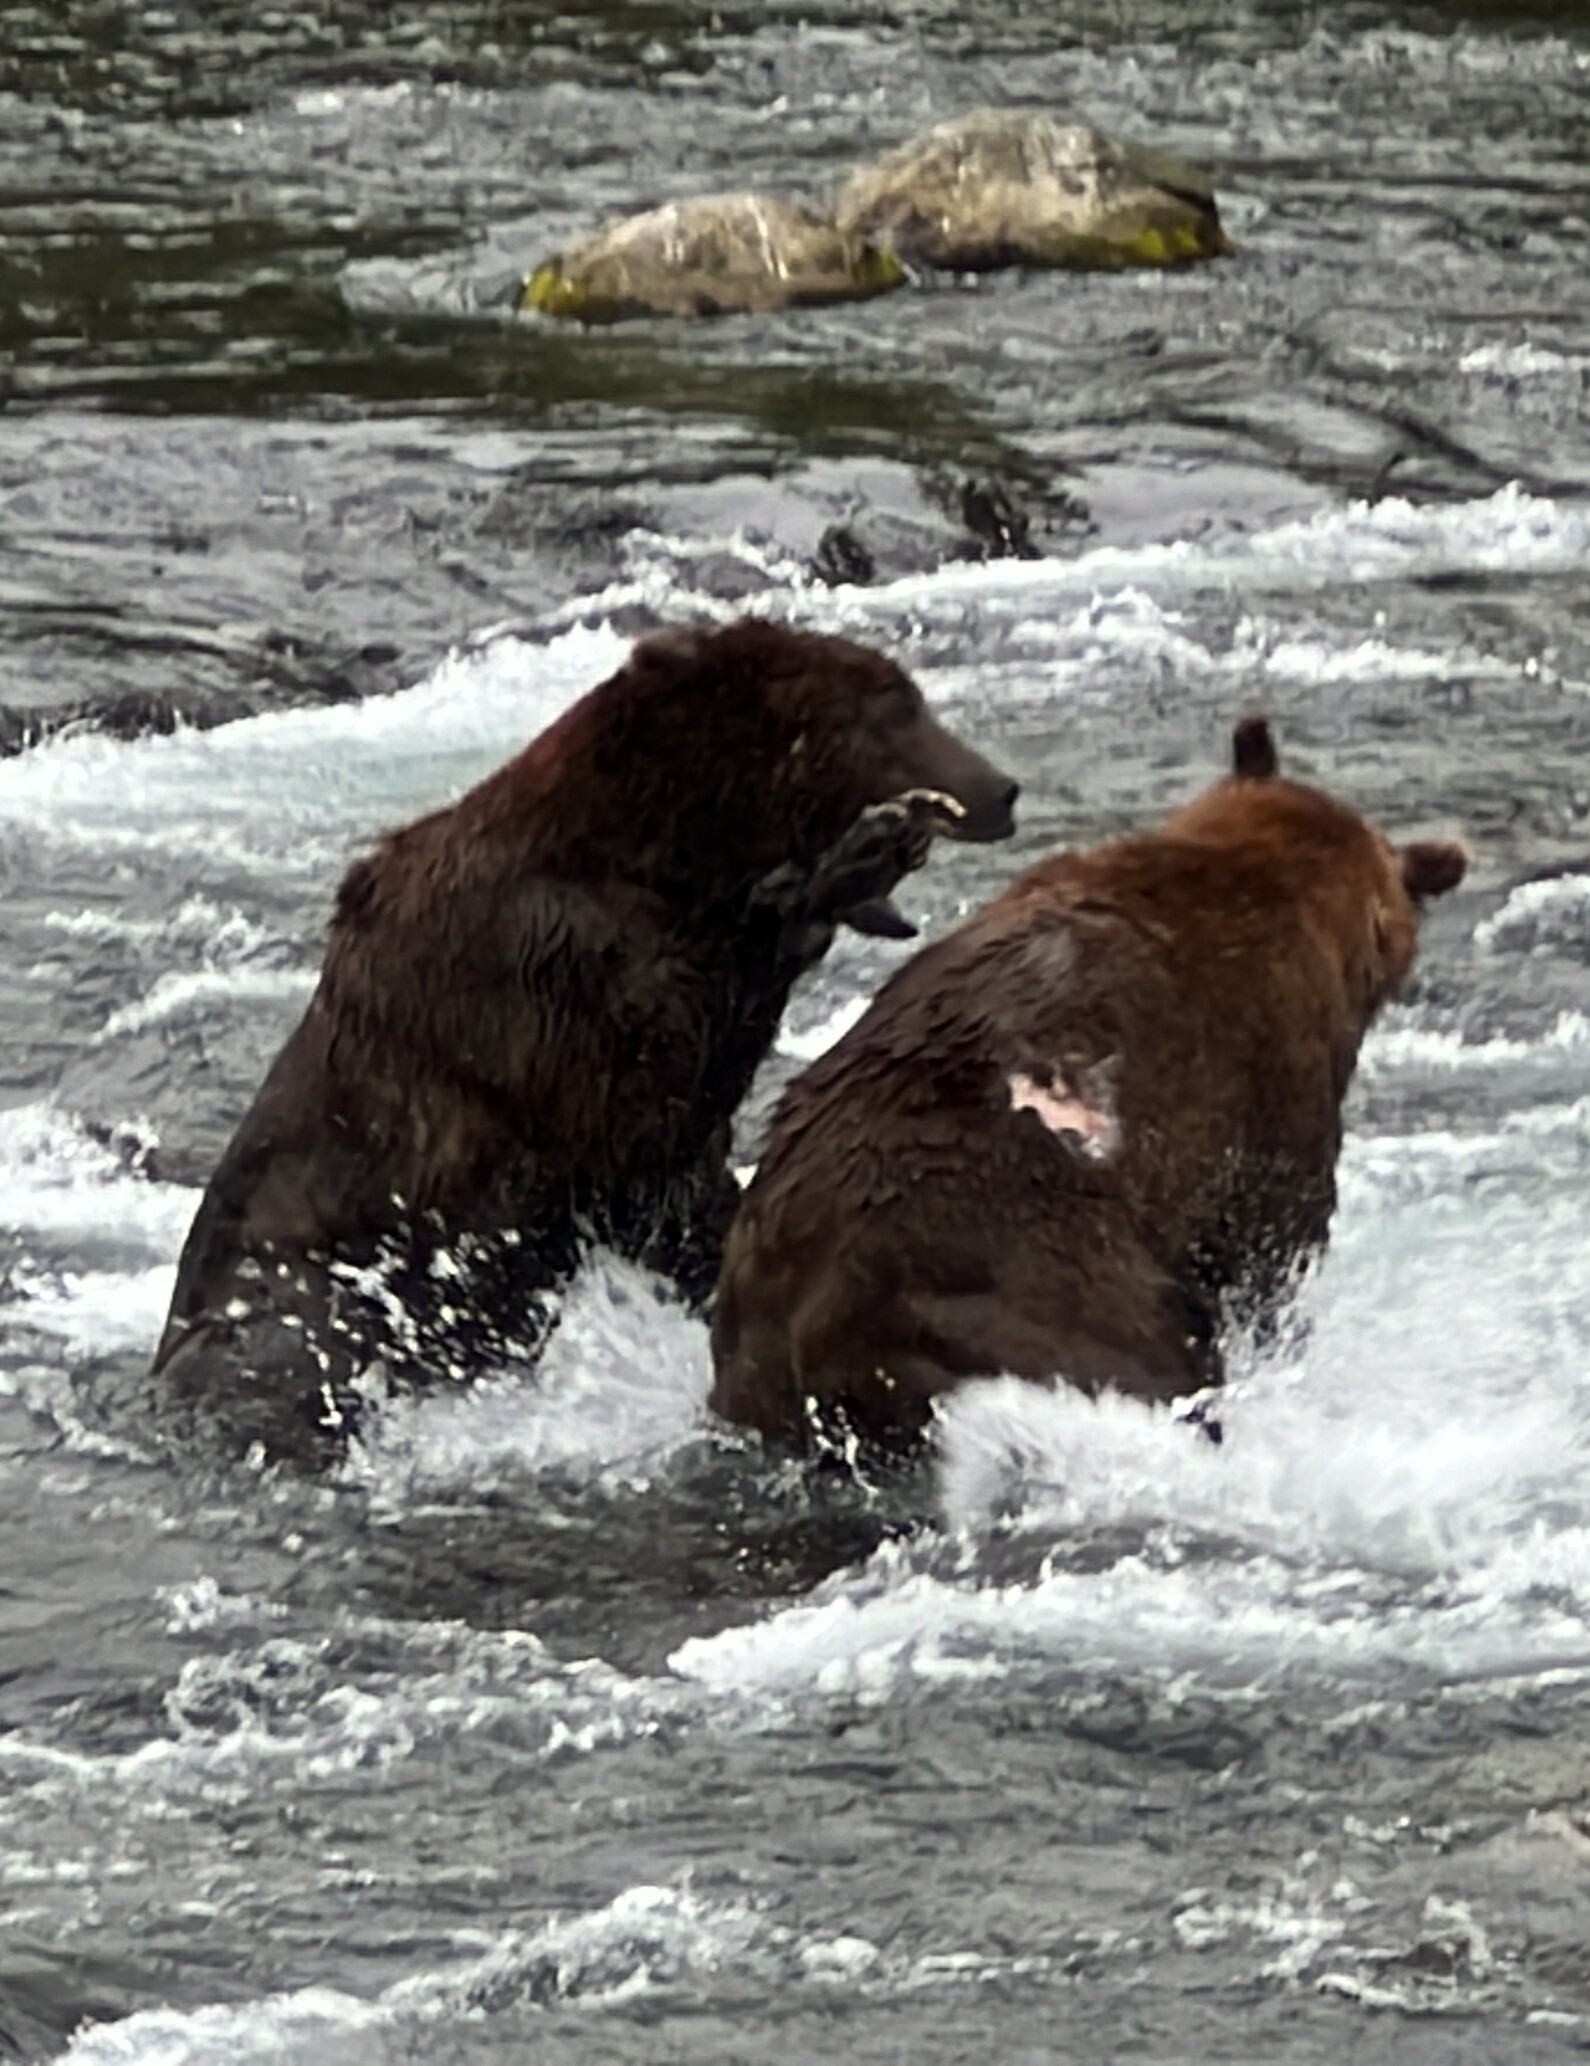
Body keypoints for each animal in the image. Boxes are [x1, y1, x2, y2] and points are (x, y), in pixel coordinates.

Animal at [151, 618, 1019, 1464]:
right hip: (308, 1292)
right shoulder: (539, 977)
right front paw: (841, 868)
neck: (664, 854)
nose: (1002, 788)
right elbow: (649, 1071)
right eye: (897, 706)